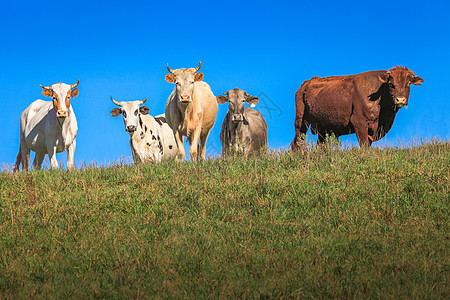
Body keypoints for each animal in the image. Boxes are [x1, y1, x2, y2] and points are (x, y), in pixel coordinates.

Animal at [290, 66, 424, 149]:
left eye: (408, 83)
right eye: (391, 84)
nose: (400, 99)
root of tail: (305, 84)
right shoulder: (359, 123)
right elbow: (364, 145)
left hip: (323, 129)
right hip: (301, 122)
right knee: (297, 142)